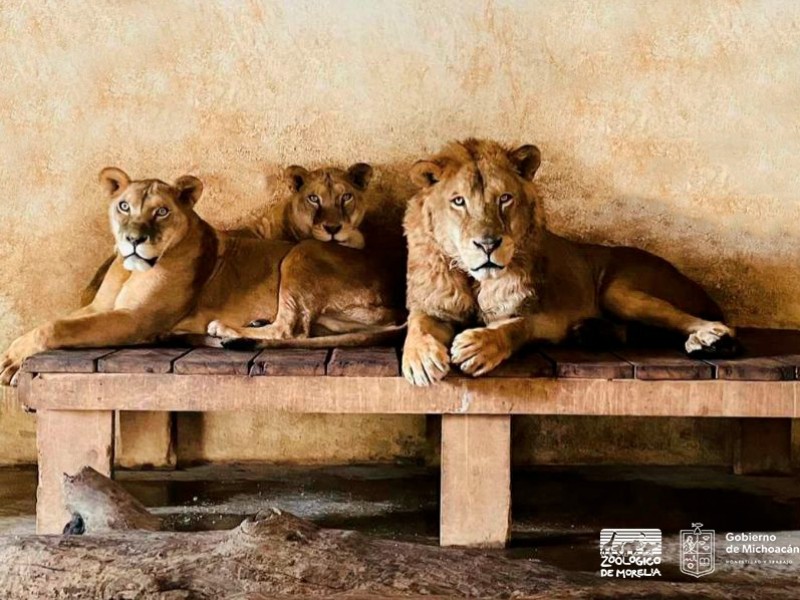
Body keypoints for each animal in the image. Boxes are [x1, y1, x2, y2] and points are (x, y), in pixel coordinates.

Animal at [0, 169, 400, 384]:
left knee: (292, 329)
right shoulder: (100, 309)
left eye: (161, 211)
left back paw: (225, 331)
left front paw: (10, 362)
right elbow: (53, 321)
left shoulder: (135, 320)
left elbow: (54, 328)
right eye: (124, 206)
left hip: (301, 253)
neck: (131, 271)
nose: (134, 240)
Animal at [400, 139, 736, 386]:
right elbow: (418, 324)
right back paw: (592, 331)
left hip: (619, 292)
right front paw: (420, 360)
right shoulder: (435, 305)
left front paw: (479, 346)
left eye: (505, 198)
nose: (488, 244)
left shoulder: (545, 318)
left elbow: (516, 327)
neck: (474, 280)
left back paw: (708, 338)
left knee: (704, 322)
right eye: (458, 201)